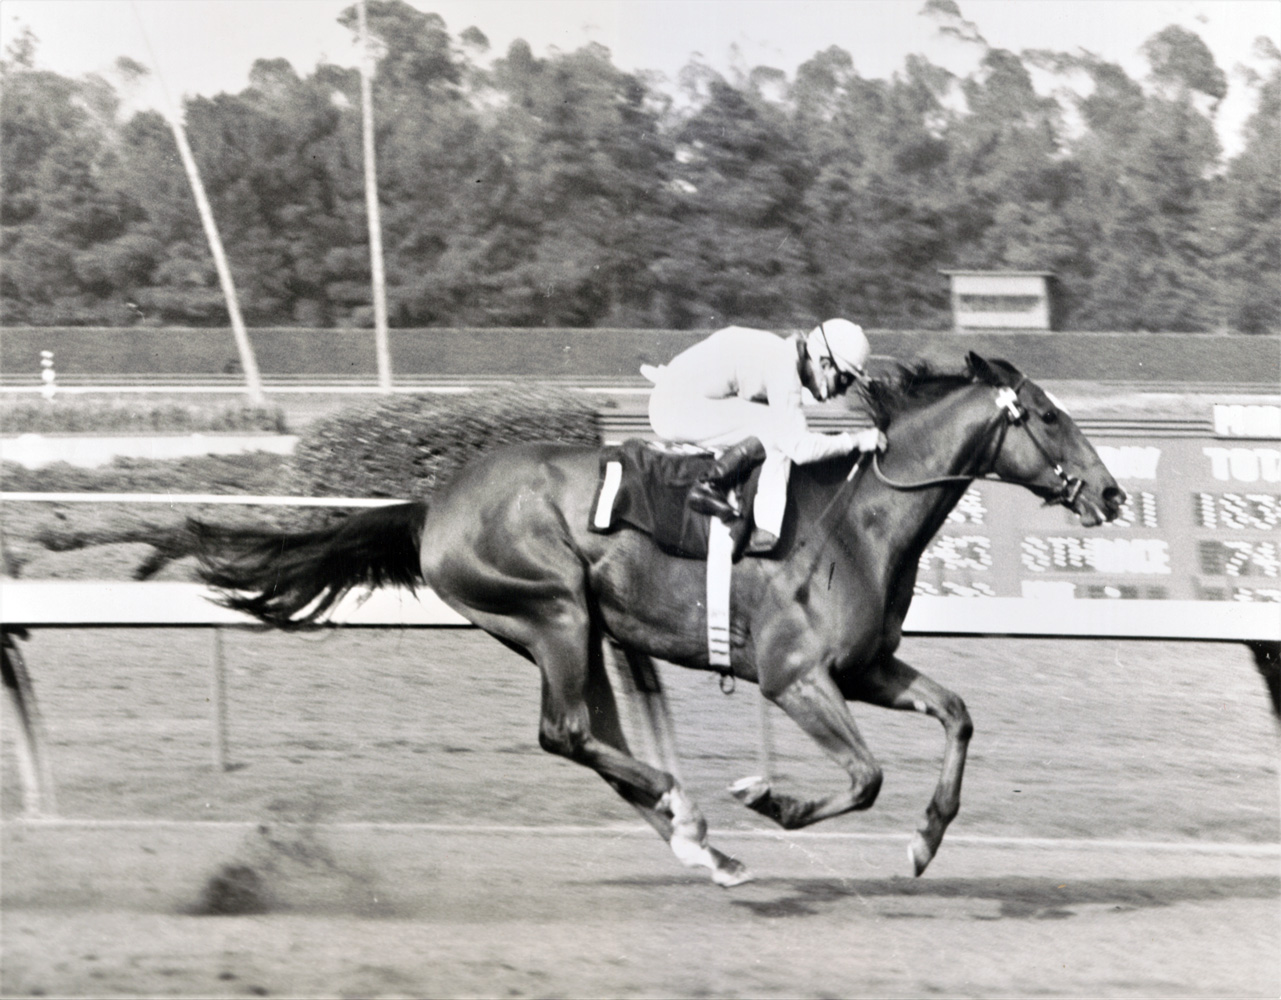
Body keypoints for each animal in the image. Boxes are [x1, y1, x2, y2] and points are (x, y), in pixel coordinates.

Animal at [194, 350, 1127, 880]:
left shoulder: (863, 668)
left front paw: (926, 842)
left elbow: (957, 716)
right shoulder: (795, 677)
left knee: (592, 735)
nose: (1113, 493)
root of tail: (434, 507)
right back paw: (685, 808)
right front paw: (770, 797)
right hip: (553, 609)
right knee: (566, 733)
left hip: (579, 631)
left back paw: (701, 846)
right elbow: (863, 777)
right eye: (1047, 416)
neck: (858, 520)